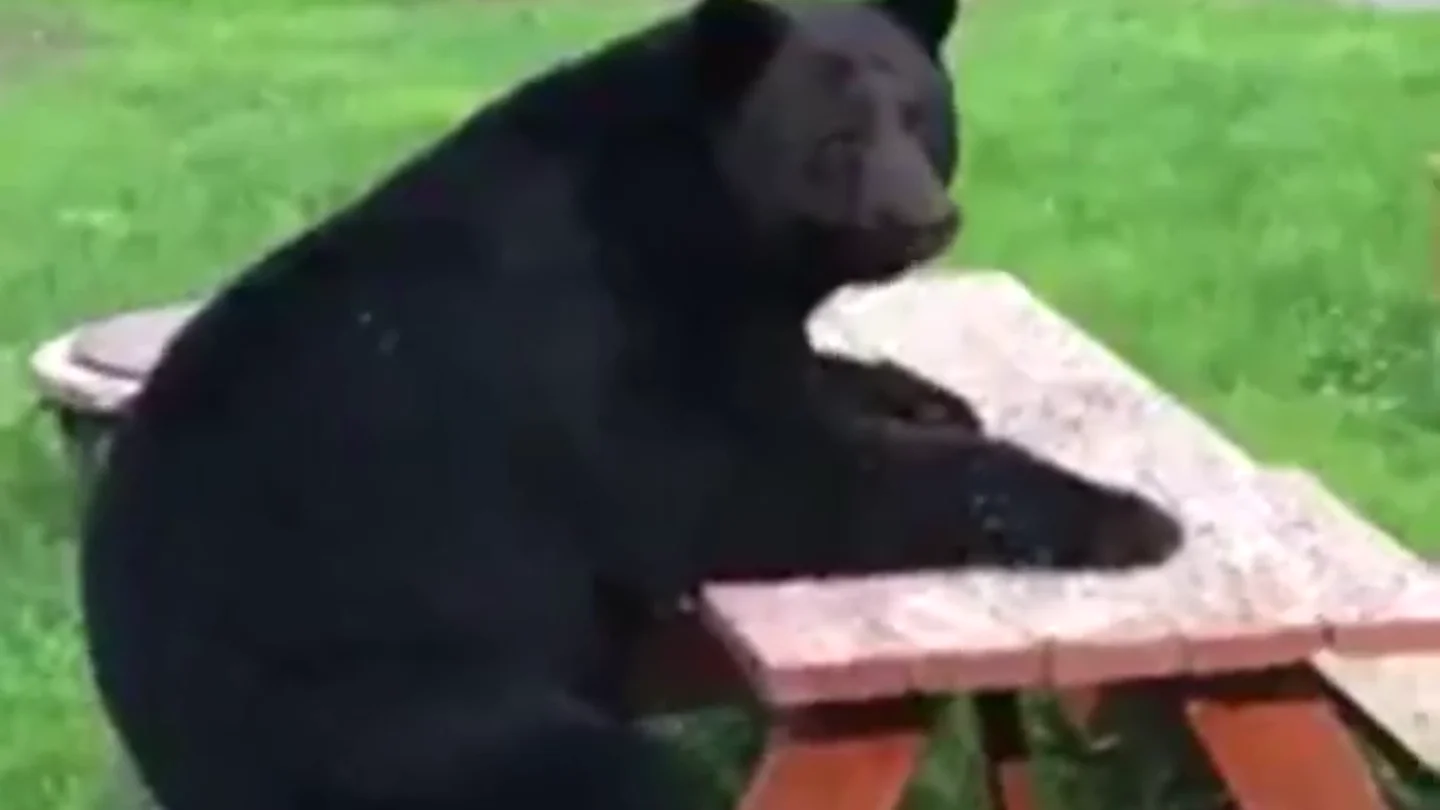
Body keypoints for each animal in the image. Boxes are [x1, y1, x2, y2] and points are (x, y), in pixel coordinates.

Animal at [78, 0, 1183, 809]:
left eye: (920, 115)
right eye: (836, 138)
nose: (924, 216)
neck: (695, 205)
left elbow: (791, 382)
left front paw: (926, 393)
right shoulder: (605, 324)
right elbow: (744, 483)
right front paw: (1131, 516)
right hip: (388, 710)